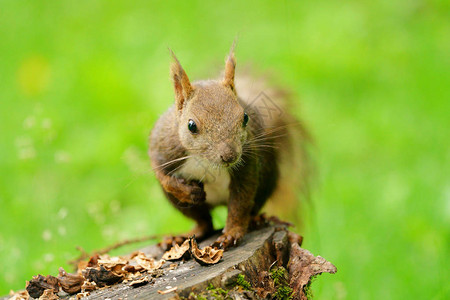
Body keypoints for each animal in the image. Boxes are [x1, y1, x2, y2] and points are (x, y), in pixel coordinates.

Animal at [148, 44, 310, 248]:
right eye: (191, 125)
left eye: (245, 117)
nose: (230, 156)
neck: (205, 161)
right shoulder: (163, 147)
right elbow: (161, 174)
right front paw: (185, 191)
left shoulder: (247, 162)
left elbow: (240, 202)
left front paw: (232, 233)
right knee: (204, 222)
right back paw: (183, 236)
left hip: (267, 179)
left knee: (247, 208)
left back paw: (255, 220)